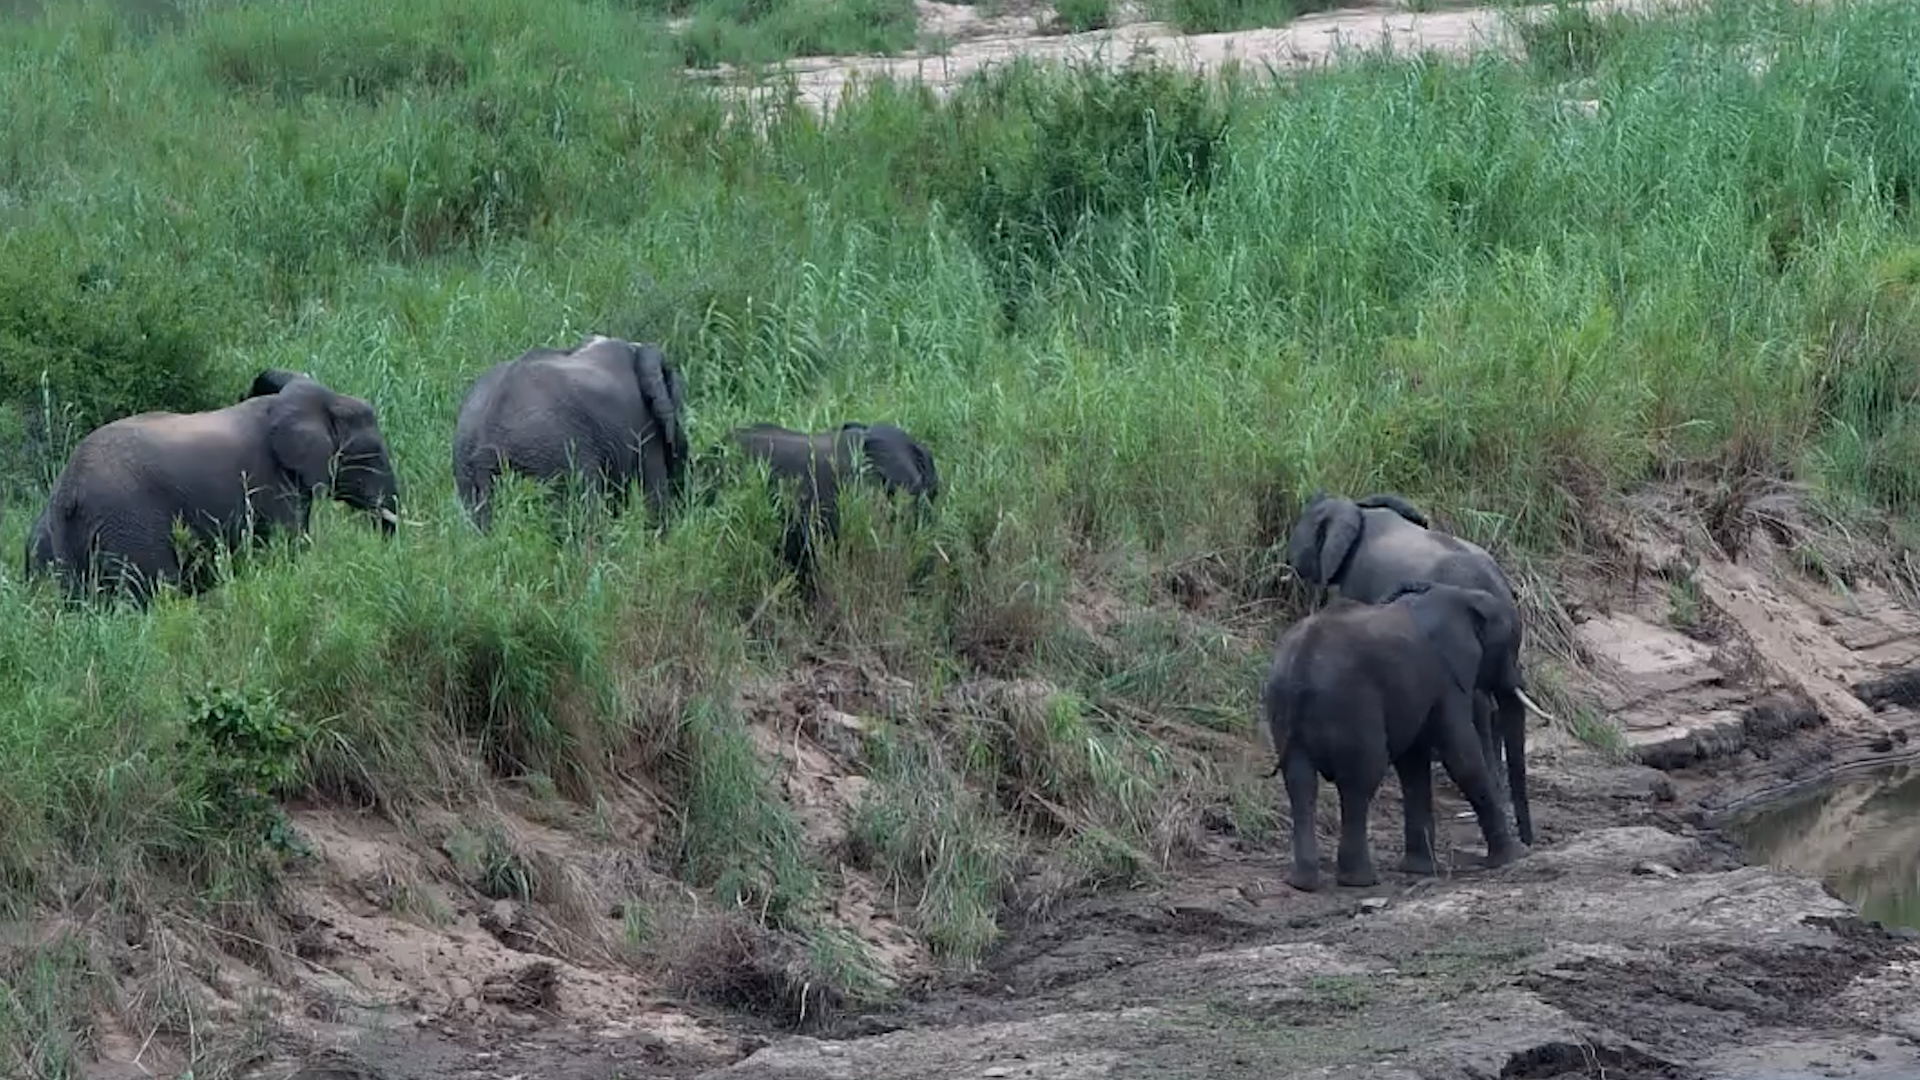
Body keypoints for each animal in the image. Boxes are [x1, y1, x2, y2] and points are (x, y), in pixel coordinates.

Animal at [1263, 579, 1527, 891]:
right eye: (1511, 645)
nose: (1530, 843)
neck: (1459, 596)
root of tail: (1302, 661)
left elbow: (1413, 763)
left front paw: (1420, 869)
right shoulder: (1447, 680)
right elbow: (1461, 756)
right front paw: (1512, 857)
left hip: (1282, 706)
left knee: (1300, 782)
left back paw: (1303, 882)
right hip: (1353, 706)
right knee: (1360, 779)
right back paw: (1360, 880)